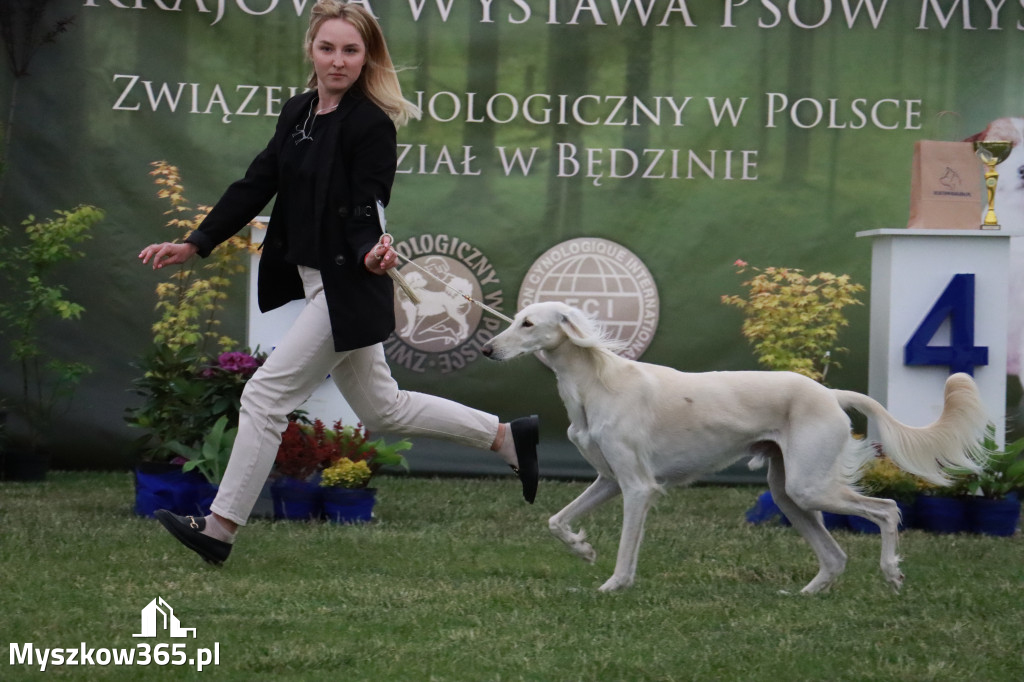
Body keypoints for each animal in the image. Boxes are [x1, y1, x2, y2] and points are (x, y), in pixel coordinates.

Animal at [483, 301, 987, 589]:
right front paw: (582, 548)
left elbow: (626, 552)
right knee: (835, 557)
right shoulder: (610, 480)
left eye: (528, 324)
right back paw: (804, 595)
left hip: (808, 487)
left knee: (887, 509)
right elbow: (555, 520)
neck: (596, 382)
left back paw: (891, 572)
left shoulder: (638, 487)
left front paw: (613, 586)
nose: (487, 350)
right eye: (515, 320)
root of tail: (829, 393)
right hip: (788, 493)